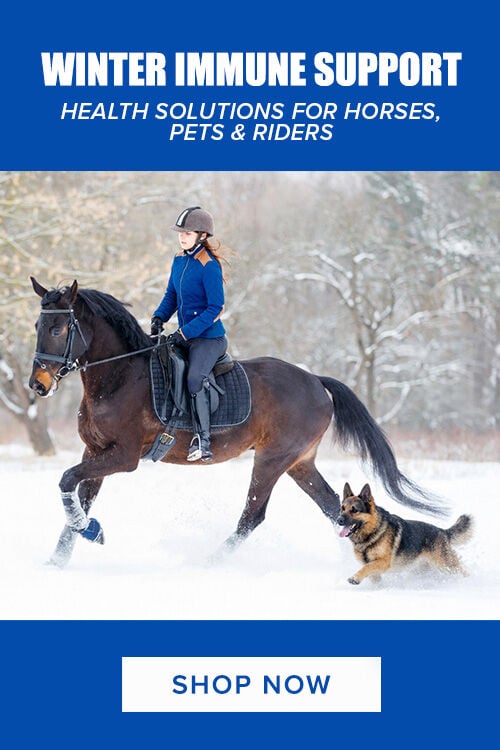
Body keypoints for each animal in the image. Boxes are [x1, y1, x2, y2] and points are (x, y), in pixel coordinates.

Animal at [29, 276, 445, 568]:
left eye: (58, 329)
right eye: (37, 326)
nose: (37, 384)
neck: (119, 376)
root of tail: (315, 380)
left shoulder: (124, 456)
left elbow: (65, 480)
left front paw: (89, 534)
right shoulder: (95, 452)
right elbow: (76, 498)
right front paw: (61, 557)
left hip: (272, 458)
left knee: (252, 516)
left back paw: (210, 562)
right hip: (299, 463)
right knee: (332, 509)